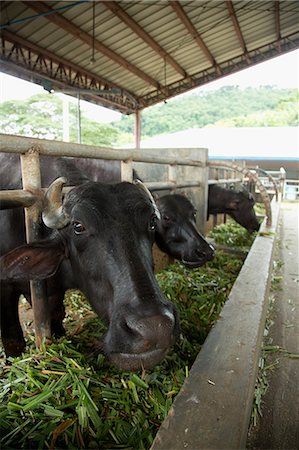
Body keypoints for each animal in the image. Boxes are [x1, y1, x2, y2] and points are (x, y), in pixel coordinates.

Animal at [0, 174, 179, 370]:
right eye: (78, 226)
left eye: (152, 222)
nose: (155, 328)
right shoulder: (6, 291)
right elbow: (13, 340)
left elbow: (56, 316)